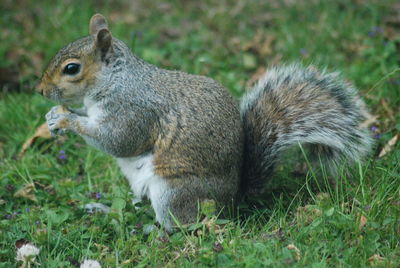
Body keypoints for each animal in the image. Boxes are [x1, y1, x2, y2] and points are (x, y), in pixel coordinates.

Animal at [36, 13, 372, 229]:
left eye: (71, 68)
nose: (40, 90)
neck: (115, 80)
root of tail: (231, 202)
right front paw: (54, 117)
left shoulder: (134, 111)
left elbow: (118, 141)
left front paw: (66, 120)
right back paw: (105, 210)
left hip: (175, 191)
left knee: (183, 225)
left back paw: (153, 230)